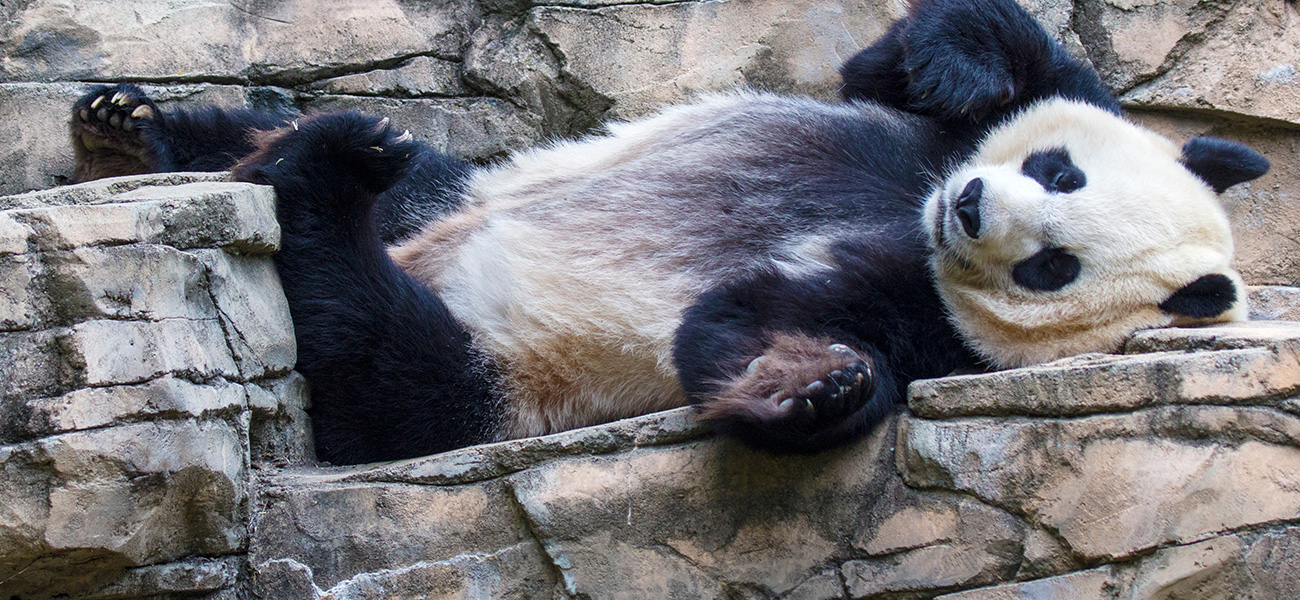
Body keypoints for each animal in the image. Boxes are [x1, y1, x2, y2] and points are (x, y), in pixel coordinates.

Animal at [68, 0, 1268, 465]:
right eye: (1056, 173)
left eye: (1053, 266)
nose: (971, 208)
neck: (913, 211)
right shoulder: (938, 138)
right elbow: (918, 65)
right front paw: (961, 69)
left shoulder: (940, 325)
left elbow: (749, 319)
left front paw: (813, 388)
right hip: (464, 194)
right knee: (421, 176)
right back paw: (140, 130)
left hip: (501, 372)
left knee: (377, 351)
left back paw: (327, 172)